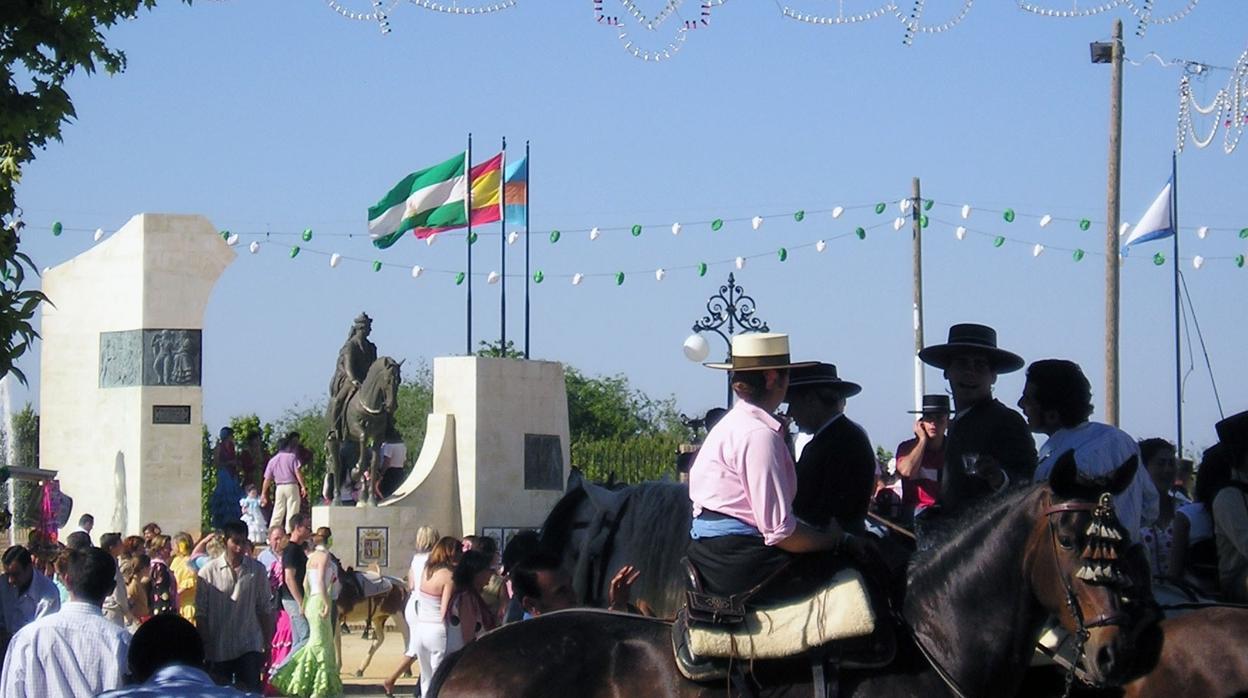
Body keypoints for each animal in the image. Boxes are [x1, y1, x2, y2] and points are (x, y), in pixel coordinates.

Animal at [326, 357, 399, 504]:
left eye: (399, 380)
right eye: (388, 380)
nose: (392, 405)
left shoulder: (378, 437)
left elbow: (373, 463)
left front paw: (371, 500)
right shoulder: (357, 429)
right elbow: (363, 437)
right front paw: (355, 472)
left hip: (352, 443)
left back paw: (362, 494)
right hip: (333, 440)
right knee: (337, 465)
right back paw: (337, 499)